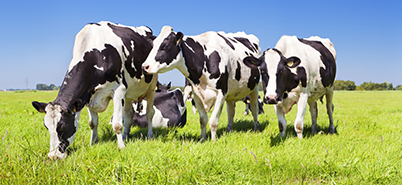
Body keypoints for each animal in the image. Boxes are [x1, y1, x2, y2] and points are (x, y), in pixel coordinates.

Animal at [31, 20, 157, 159]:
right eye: (46, 127)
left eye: (62, 126)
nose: (53, 156)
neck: (96, 54)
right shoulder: (87, 96)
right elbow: (93, 123)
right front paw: (93, 143)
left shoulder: (119, 90)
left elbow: (117, 124)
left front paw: (121, 147)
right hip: (129, 93)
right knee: (129, 115)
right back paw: (125, 136)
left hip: (152, 85)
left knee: (150, 113)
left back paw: (149, 136)